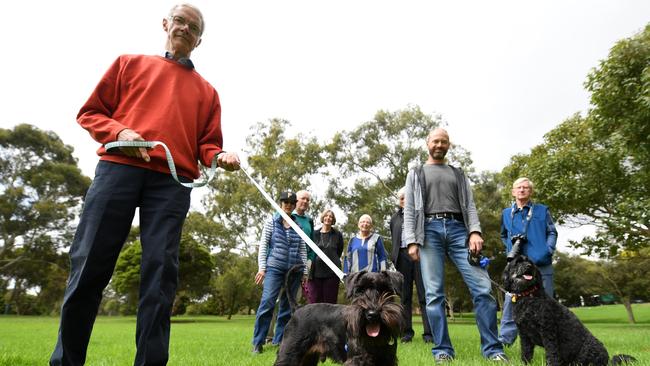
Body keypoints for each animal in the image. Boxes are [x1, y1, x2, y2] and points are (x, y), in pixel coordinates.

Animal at [274, 268, 404, 366]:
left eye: (385, 290)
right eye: (360, 291)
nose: (372, 314)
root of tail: (297, 308)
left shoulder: (388, 360)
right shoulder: (356, 360)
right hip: (289, 353)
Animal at [502, 254, 632, 366]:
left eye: (531, 263)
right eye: (517, 263)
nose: (529, 266)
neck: (527, 297)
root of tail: (607, 361)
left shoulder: (548, 332)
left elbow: (552, 354)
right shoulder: (524, 335)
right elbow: (526, 353)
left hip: (587, 352)